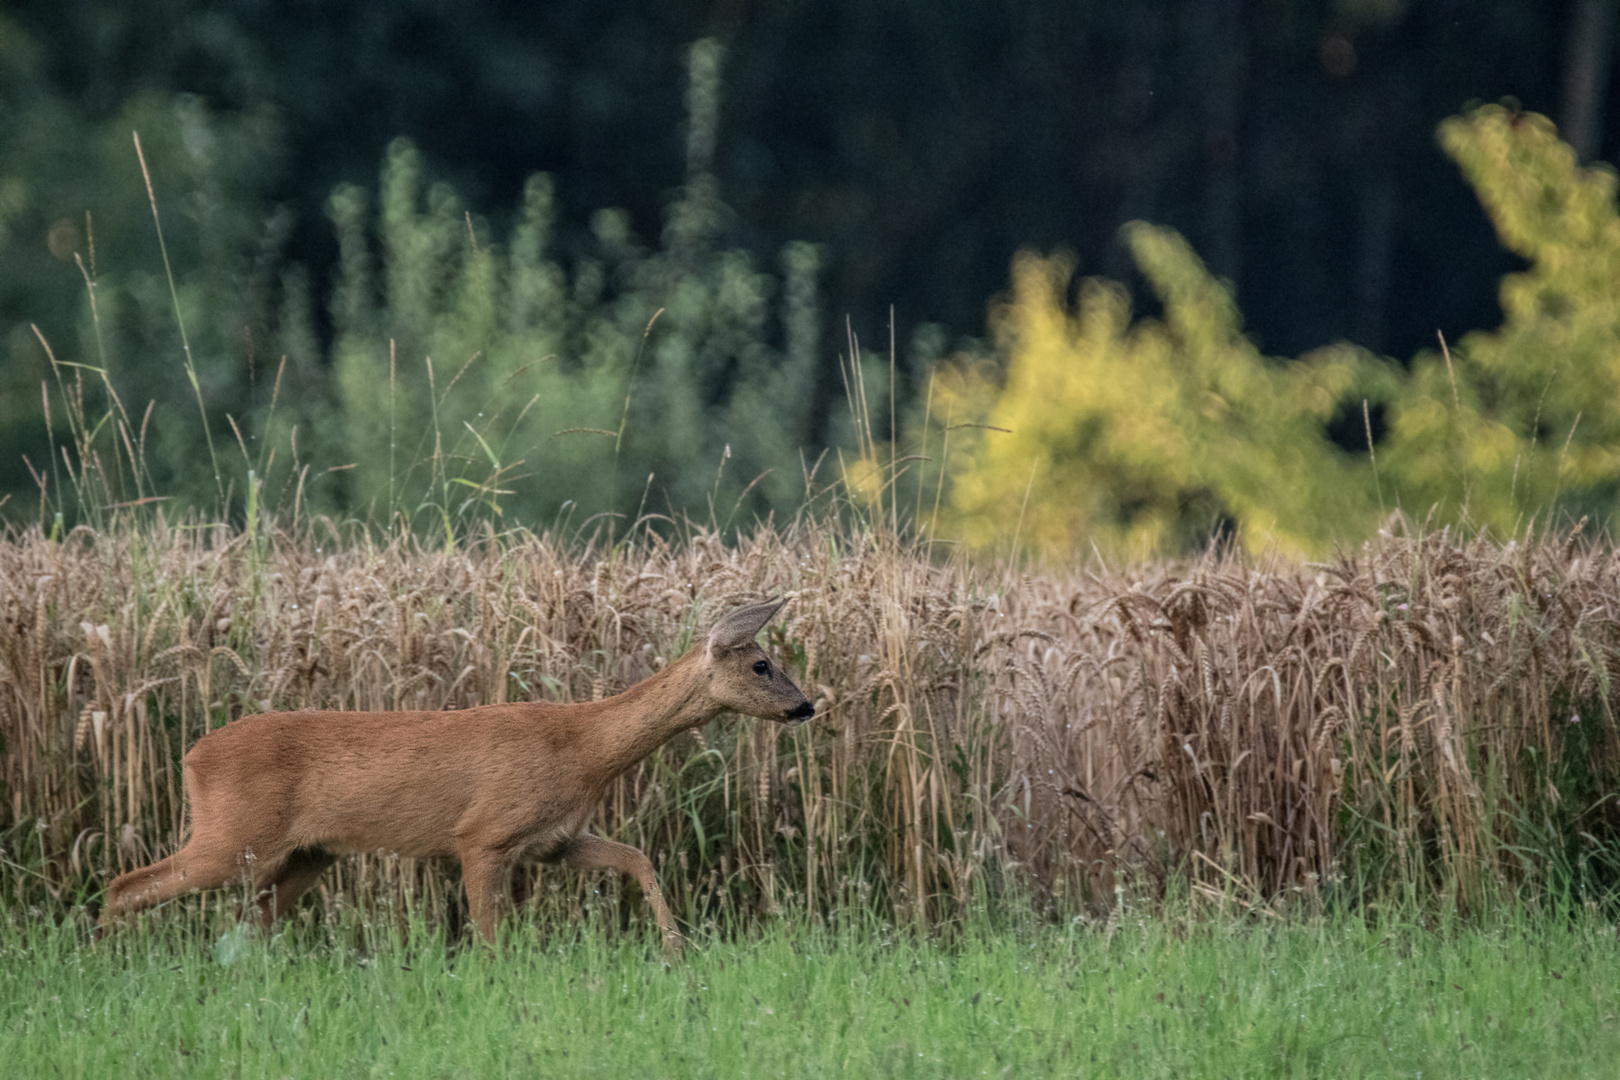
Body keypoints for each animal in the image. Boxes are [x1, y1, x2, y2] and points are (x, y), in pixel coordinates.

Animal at [98, 595, 810, 958]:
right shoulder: (484, 834)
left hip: (306, 854)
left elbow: (637, 858)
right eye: (763, 664)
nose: (806, 706)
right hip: (234, 837)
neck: (583, 750)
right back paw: (101, 961)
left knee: (249, 926)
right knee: (126, 884)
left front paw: (676, 951)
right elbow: (491, 936)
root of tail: (192, 757)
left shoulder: (551, 840)